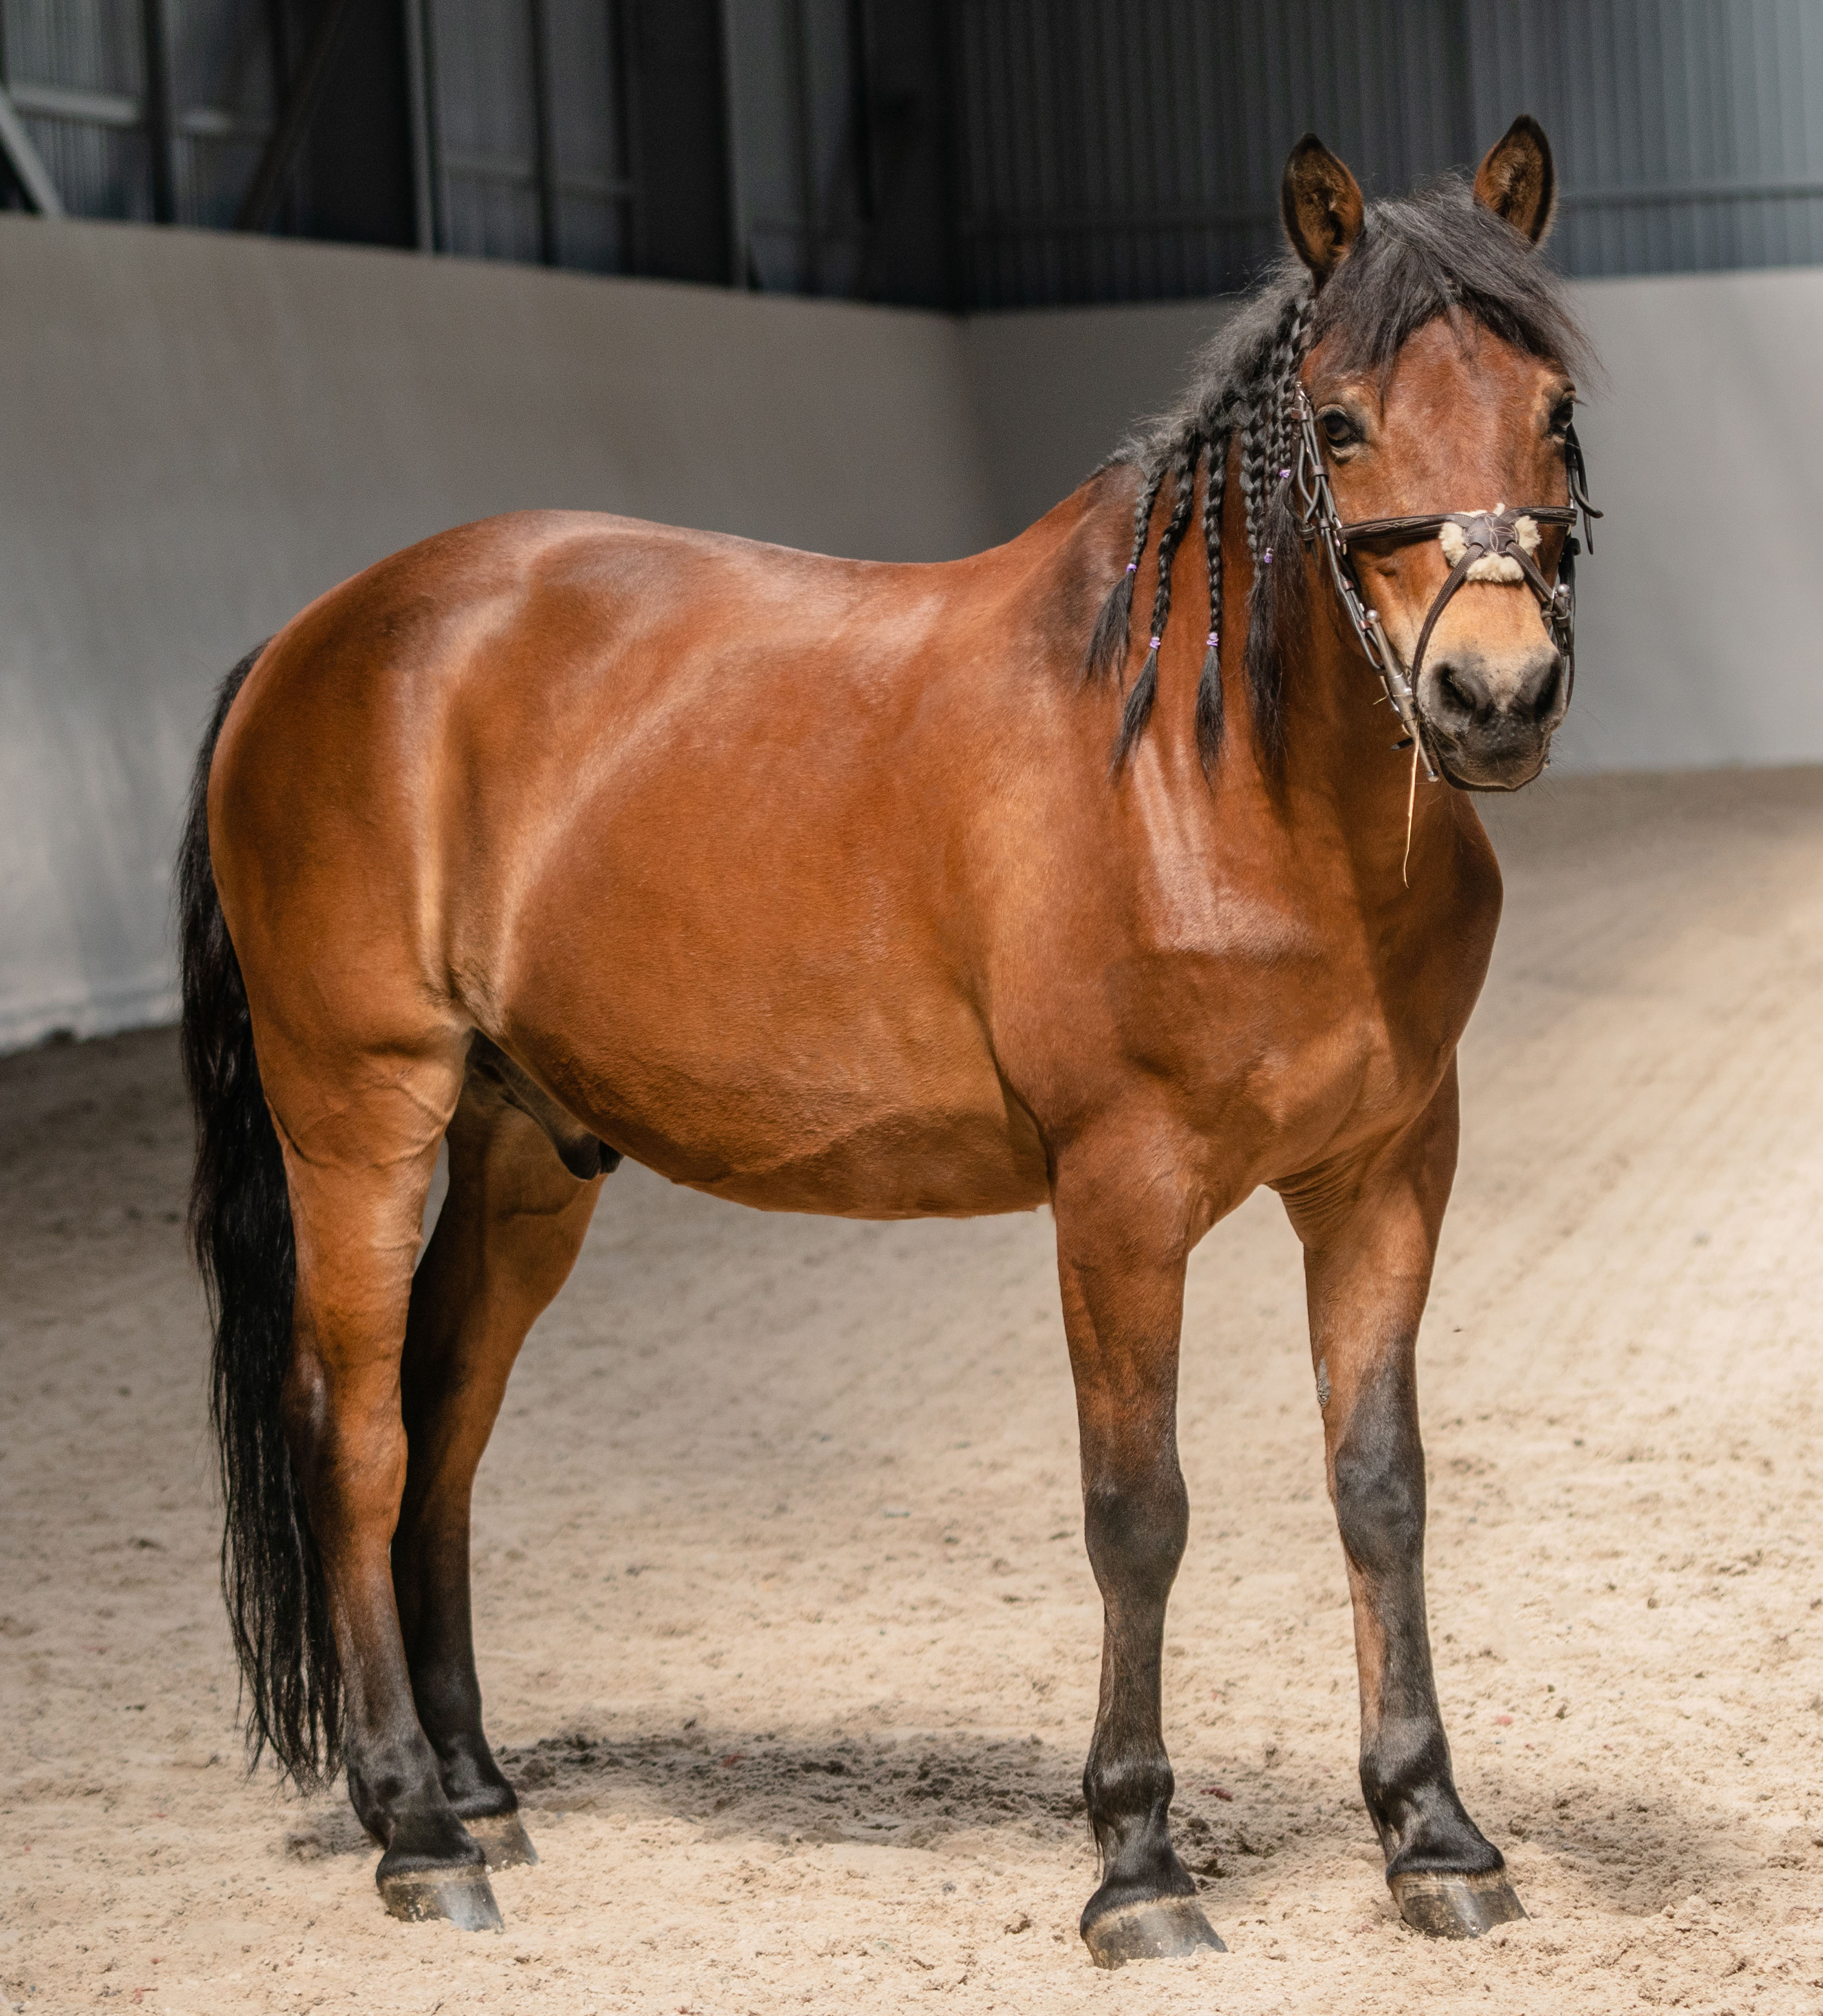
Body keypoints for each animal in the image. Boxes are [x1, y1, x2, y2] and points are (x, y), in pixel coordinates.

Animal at [174, 118, 1597, 1960]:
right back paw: (415, 1830)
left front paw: (1432, 1835)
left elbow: (1380, 1488)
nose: (1491, 697)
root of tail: (316, 638)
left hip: (521, 1158)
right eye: (1341, 421)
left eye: (1552, 409)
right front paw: (1137, 1864)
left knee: (446, 1426)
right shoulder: (1118, 1198)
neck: (1219, 780)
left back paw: (479, 1786)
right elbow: (1136, 1514)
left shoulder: (1384, 1174)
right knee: (356, 1436)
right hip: (359, 1117)